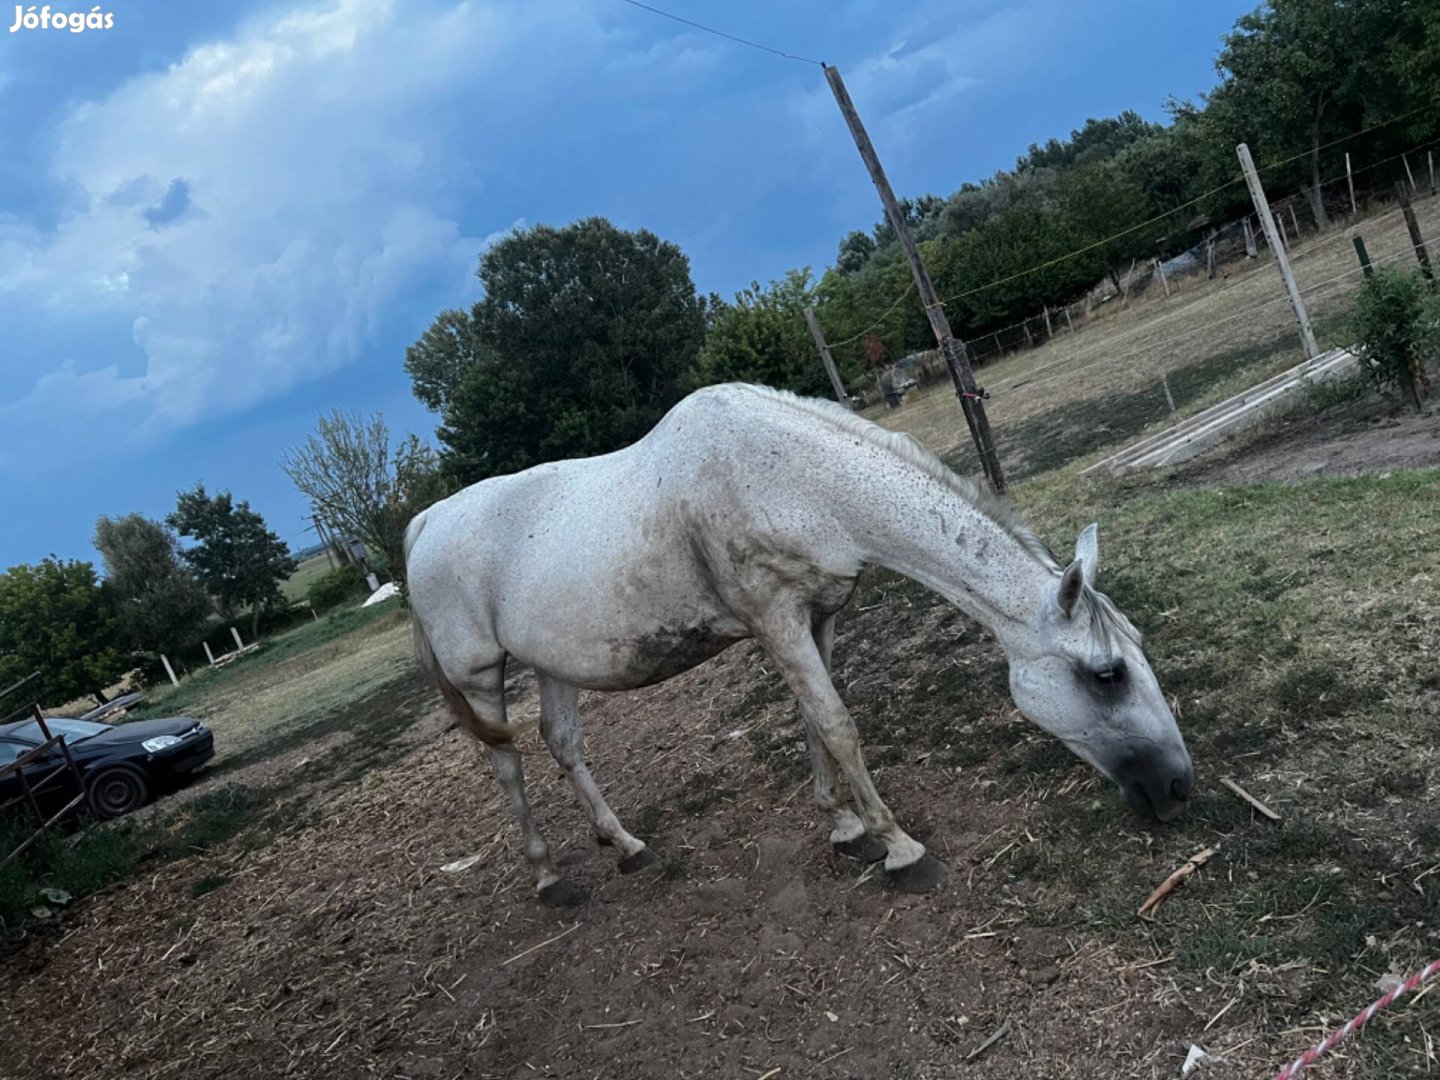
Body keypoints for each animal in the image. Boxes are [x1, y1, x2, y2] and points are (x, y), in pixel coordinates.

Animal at [403, 385, 1192, 910]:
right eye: (1107, 675)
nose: (1179, 787)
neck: (788, 478)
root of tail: (421, 526)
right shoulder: (777, 621)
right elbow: (838, 725)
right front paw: (900, 848)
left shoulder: (819, 616)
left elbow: (817, 723)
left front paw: (844, 827)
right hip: (481, 676)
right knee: (509, 766)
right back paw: (547, 877)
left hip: (553, 664)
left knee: (563, 745)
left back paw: (627, 848)